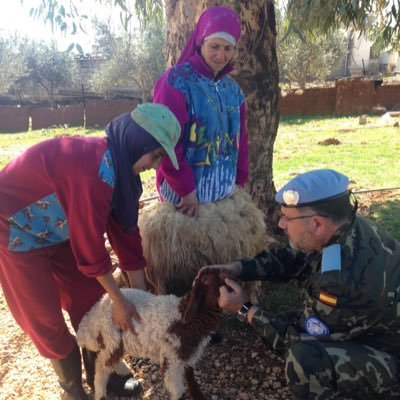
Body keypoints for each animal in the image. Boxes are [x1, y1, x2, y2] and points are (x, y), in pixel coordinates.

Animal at [76, 266, 231, 400]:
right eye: (210, 280)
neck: (187, 318)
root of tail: (96, 309)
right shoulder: (171, 358)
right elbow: (177, 391)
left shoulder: (185, 354)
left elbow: (190, 378)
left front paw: (198, 396)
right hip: (111, 338)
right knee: (101, 366)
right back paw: (101, 393)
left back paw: (122, 370)